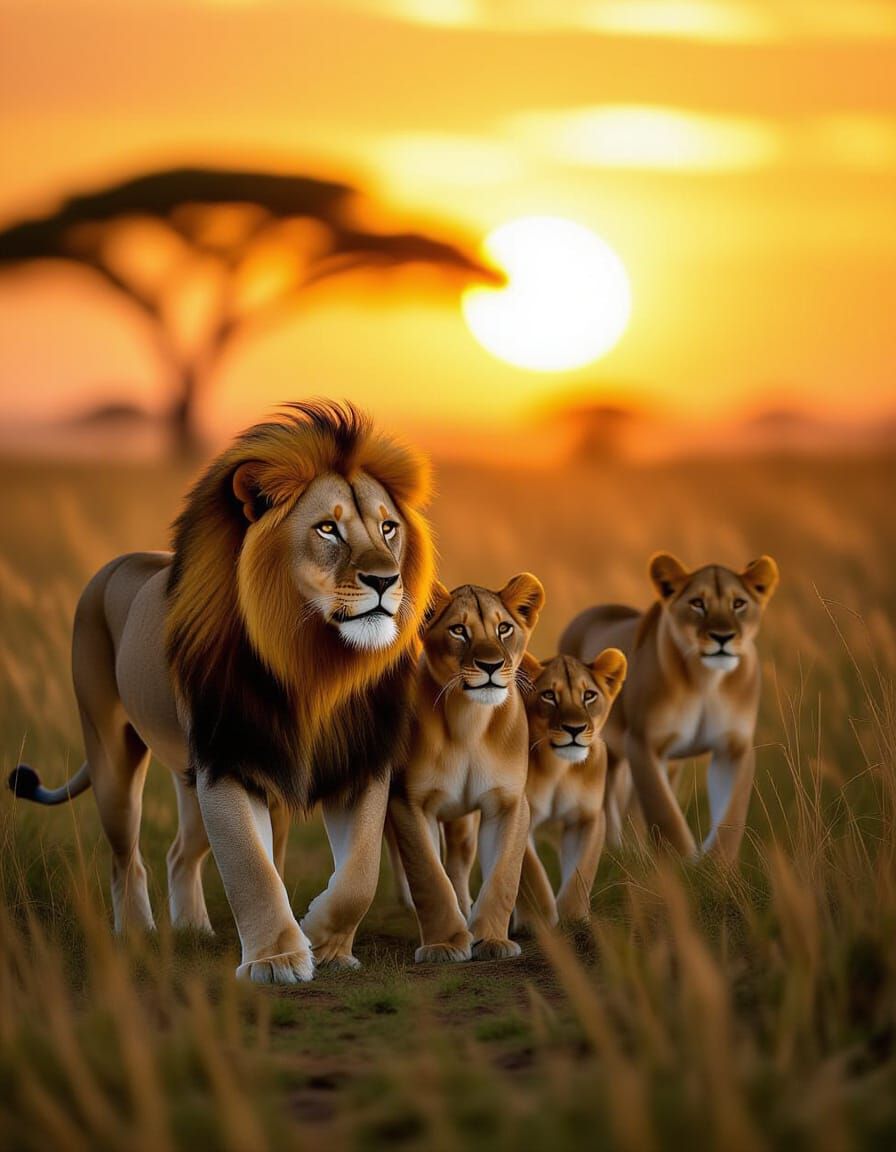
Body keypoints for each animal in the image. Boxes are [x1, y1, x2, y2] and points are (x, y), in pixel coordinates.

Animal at [8, 401, 434, 983]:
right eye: (328, 529)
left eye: (389, 527)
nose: (387, 581)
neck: (314, 666)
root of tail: (114, 565)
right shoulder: (227, 761)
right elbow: (251, 868)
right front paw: (277, 960)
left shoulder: (360, 762)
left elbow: (359, 874)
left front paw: (324, 943)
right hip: (113, 757)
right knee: (127, 858)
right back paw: (137, 936)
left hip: (191, 779)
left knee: (179, 855)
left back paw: (193, 930)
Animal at [387, 575, 544, 963]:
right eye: (458, 630)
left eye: (504, 628)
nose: (491, 665)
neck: (469, 722)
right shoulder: (409, 802)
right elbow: (428, 876)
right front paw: (443, 944)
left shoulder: (508, 803)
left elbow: (503, 876)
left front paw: (490, 939)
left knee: (458, 862)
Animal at [514, 650, 626, 929]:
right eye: (549, 695)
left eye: (589, 695)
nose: (574, 729)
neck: (559, 769)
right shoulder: (518, 812)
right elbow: (531, 873)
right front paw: (538, 921)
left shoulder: (587, 818)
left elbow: (581, 872)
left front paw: (573, 918)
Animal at [559, 554, 779, 863]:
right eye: (697, 603)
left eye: (739, 603)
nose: (722, 637)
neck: (706, 680)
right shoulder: (643, 743)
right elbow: (664, 811)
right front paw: (683, 861)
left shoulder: (734, 747)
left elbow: (731, 814)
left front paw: (716, 865)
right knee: (610, 797)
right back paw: (617, 850)